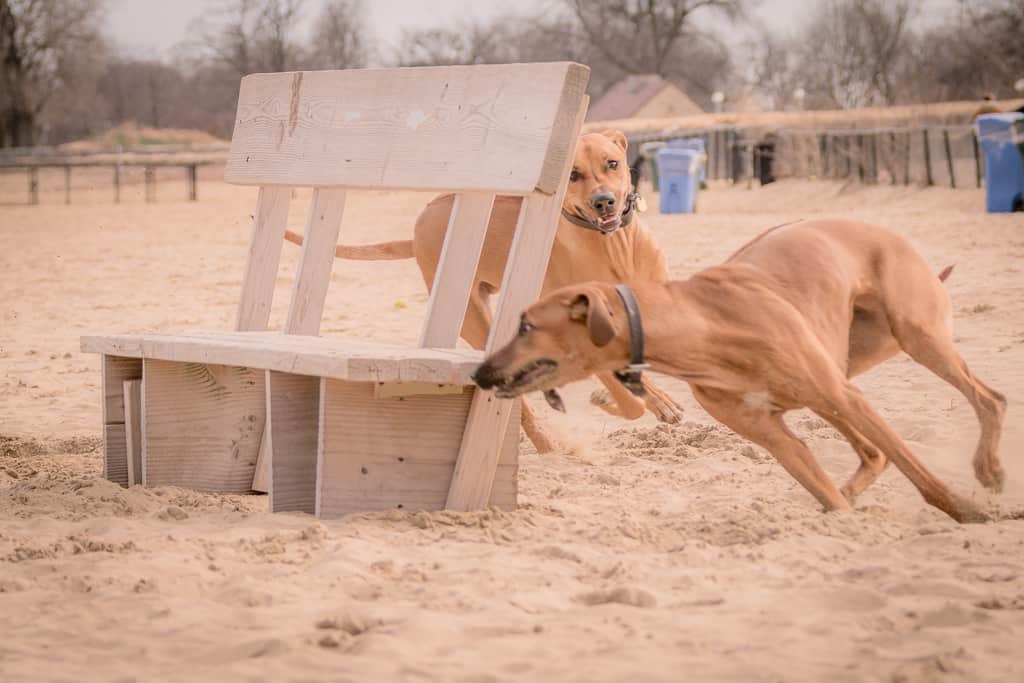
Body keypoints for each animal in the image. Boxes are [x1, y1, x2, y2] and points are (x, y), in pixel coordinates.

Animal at [288, 133, 684, 454]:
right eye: (573, 175)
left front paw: (653, 398)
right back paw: (547, 446)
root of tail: (418, 228)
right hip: (476, 321)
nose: (603, 201)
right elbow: (628, 401)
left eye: (611, 163)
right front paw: (616, 399)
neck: (611, 245)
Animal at [471, 219, 1007, 524]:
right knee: (872, 453)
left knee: (989, 398)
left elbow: (920, 473)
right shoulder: (774, 437)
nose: (481, 373)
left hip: (913, 336)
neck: (705, 326)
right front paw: (841, 511)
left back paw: (989, 469)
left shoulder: (844, 396)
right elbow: (825, 489)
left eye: (526, 324)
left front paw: (967, 511)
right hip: (845, 365)